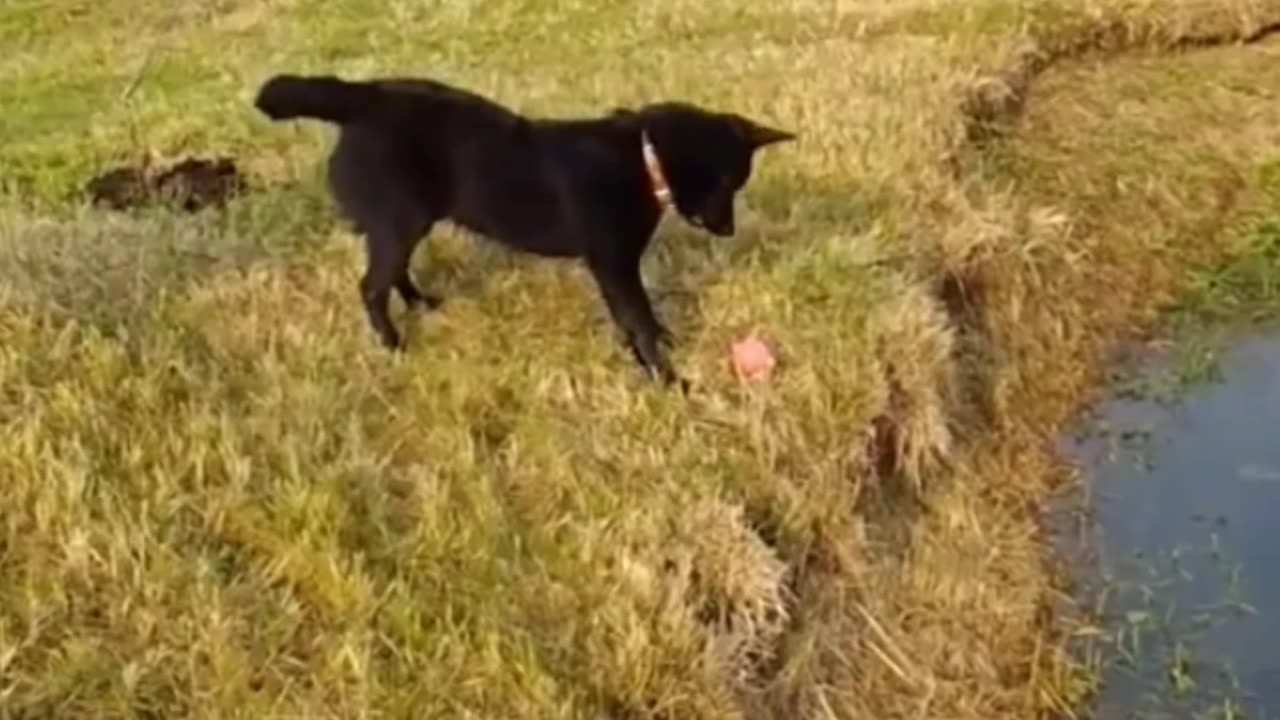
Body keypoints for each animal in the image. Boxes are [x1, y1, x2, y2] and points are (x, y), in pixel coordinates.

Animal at [252, 73, 788, 384]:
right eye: (728, 182)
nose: (728, 230)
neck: (644, 156)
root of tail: (364, 99)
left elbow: (639, 320)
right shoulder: (613, 264)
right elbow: (637, 318)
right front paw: (667, 378)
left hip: (404, 221)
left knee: (391, 273)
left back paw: (423, 304)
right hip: (400, 218)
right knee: (370, 286)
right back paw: (394, 345)